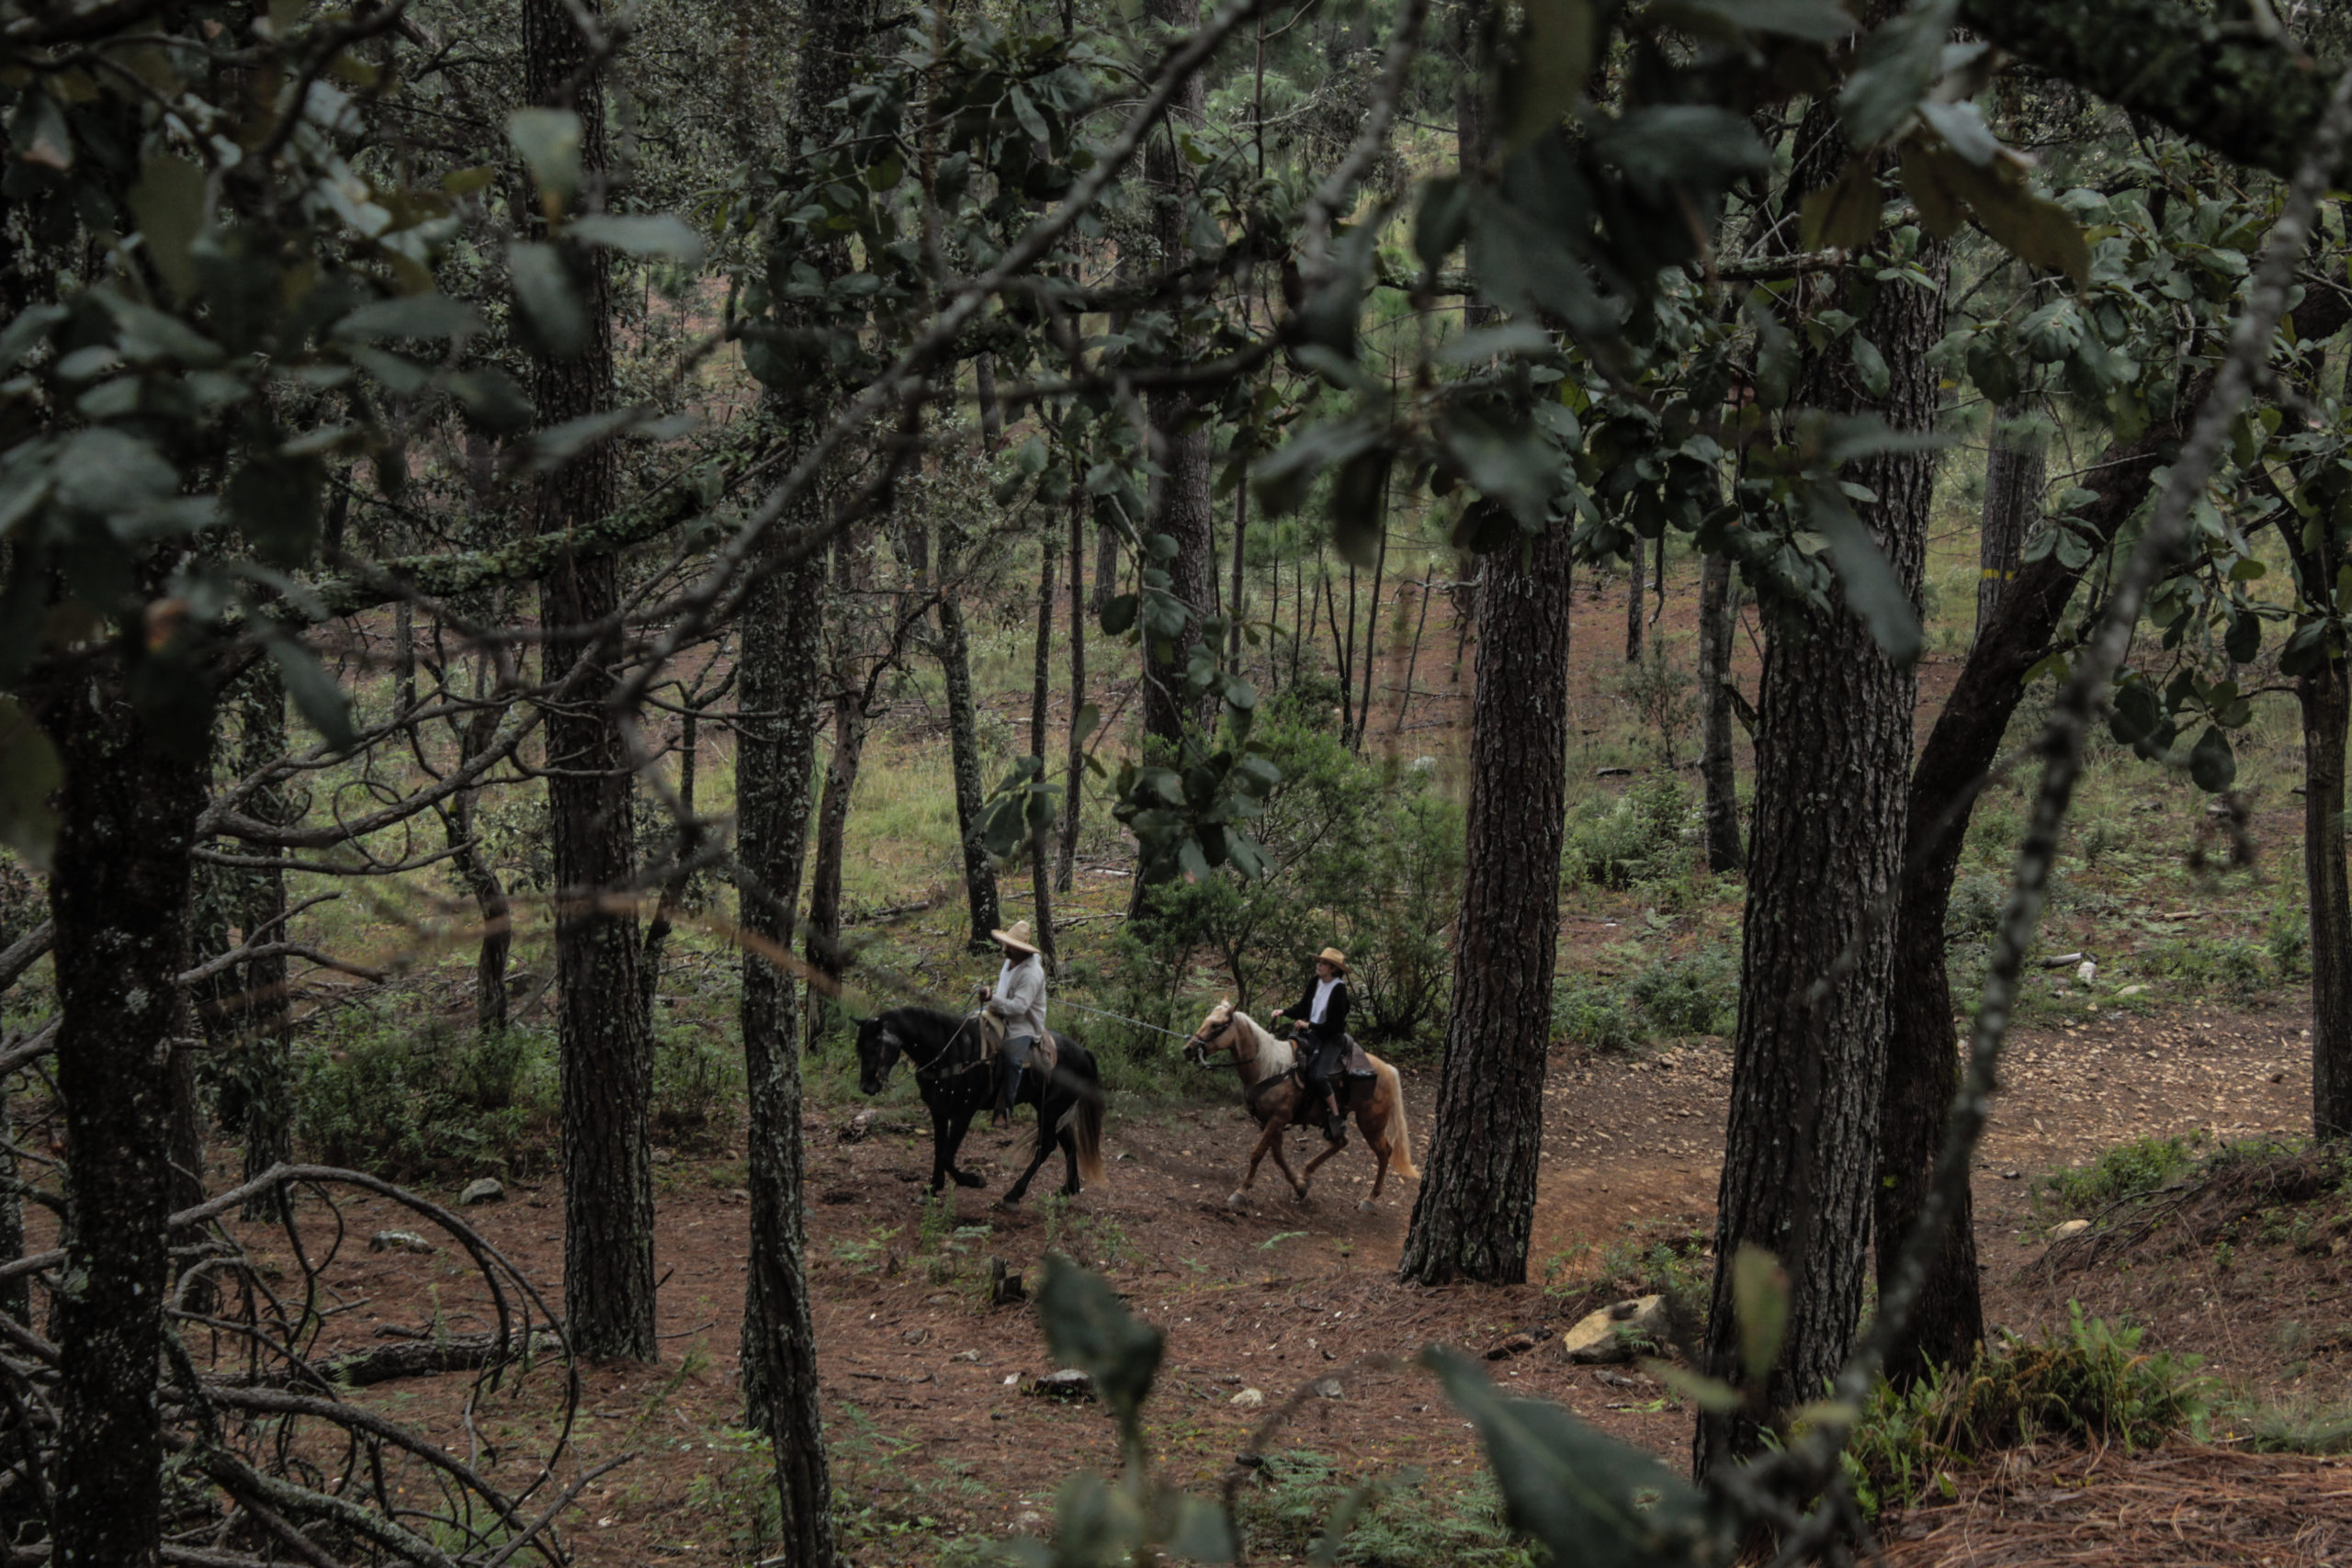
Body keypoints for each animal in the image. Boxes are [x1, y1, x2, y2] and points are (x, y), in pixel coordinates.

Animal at [860, 1006, 1105, 1203]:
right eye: (860, 1047)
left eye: (876, 1045)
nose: (866, 1087)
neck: (950, 1052)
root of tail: (1084, 1052)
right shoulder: (938, 1111)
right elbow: (939, 1149)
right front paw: (932, 1188)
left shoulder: (964, 1112)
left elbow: (947, 1155)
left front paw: (973, 1180)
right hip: (1053, 1110)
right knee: (1068, 1143)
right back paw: (1068, 1189)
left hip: (1051, 1110)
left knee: (1047, 1146)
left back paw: (1014, 1194)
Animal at [1176, 1006, 1411, 1213]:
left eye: (1217, 1025)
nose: (1187, 1049)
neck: (1269, 1069)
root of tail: (1387, 1069)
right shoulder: (1272, 1122)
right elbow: (1278, 1156)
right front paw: (1299, 1187)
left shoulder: (1278, 1119)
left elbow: (1258, 1153)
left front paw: (1241, 1191)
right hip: (1338, 1120)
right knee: (1341, 1141)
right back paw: (1307, 1173)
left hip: (1371, 1123)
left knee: (1384, 1152)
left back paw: (1369, 1199)